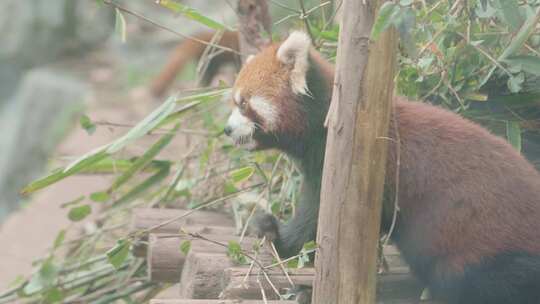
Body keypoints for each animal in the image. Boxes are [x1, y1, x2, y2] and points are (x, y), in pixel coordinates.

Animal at [224, 30, 540, 304]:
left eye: (244, 104)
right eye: (235, 101)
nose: (226, 130)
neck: (327, 125)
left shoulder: (342, 169)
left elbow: (314, 221)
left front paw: (277, 236)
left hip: (483, 245)